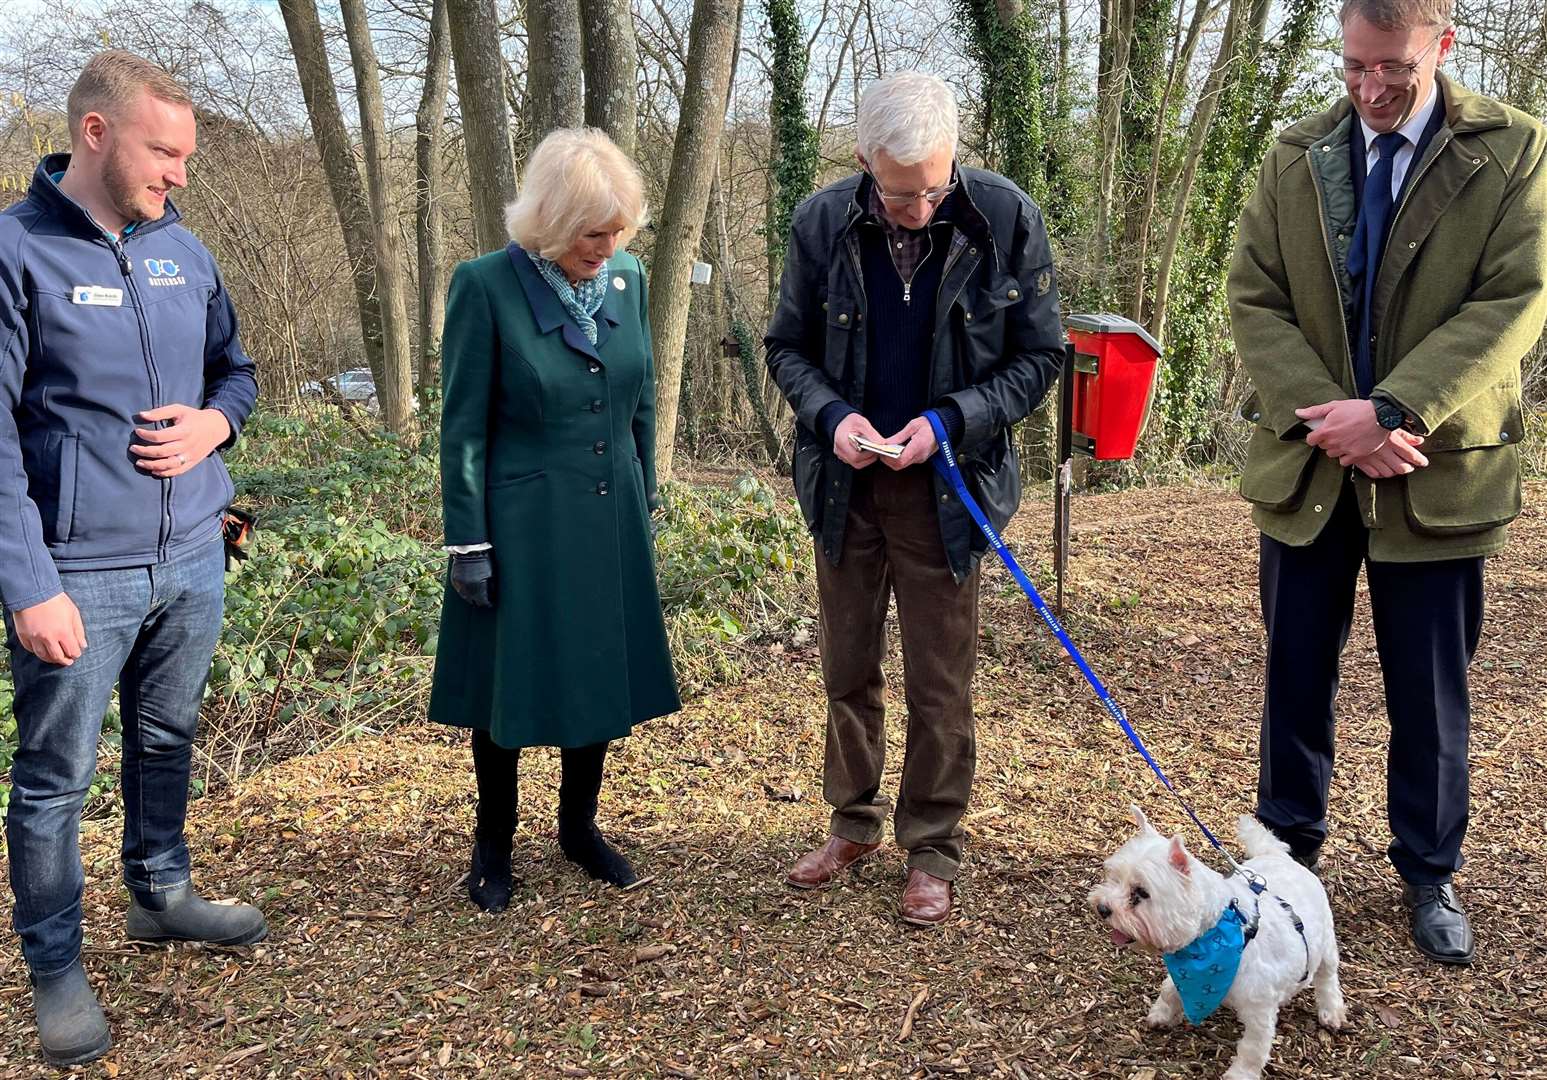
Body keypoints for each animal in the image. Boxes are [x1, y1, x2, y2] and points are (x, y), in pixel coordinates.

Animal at [1089, 804, 1342, 1070]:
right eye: (1114, 877)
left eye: (1140, 893)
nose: (1103, 908)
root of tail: (1278, 856)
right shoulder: (1184, 974)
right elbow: (1169, 988)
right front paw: (1162, 1014)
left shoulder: (1259, 1010)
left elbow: (1253, 1049)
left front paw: (1240, 1073)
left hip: (1326, 946)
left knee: (1327, 978)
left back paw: (1331, 1012)